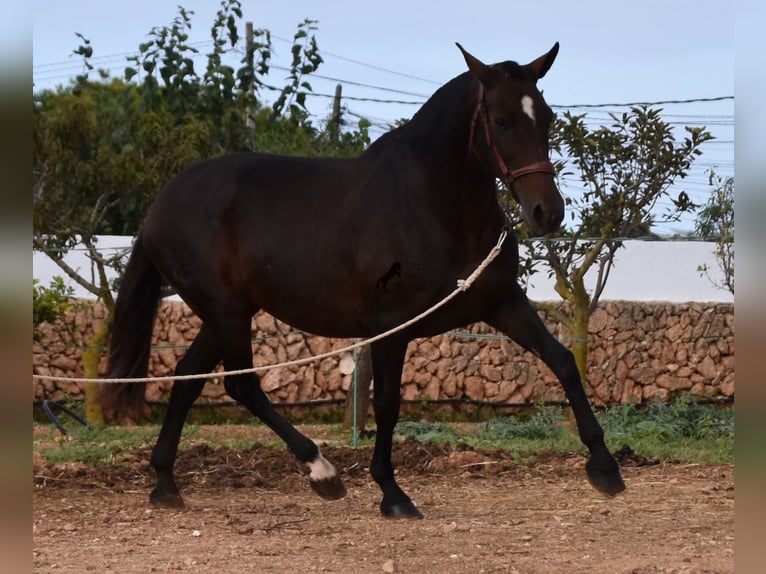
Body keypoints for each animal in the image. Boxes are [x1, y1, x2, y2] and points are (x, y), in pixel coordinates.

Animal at [99, 42, 628, 520]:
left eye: (548, 117)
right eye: (500, 120)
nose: (547, 212)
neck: (430, 206)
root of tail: (160, 206)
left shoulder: (501, 303)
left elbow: (563, 362)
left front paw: (605, 469)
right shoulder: (391, 325)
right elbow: (388, 404)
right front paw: (392, 494)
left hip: (227, 313)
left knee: (187, 377)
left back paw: (166, 484)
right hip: (226, 311)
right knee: (242, 386)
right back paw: (322, 473)